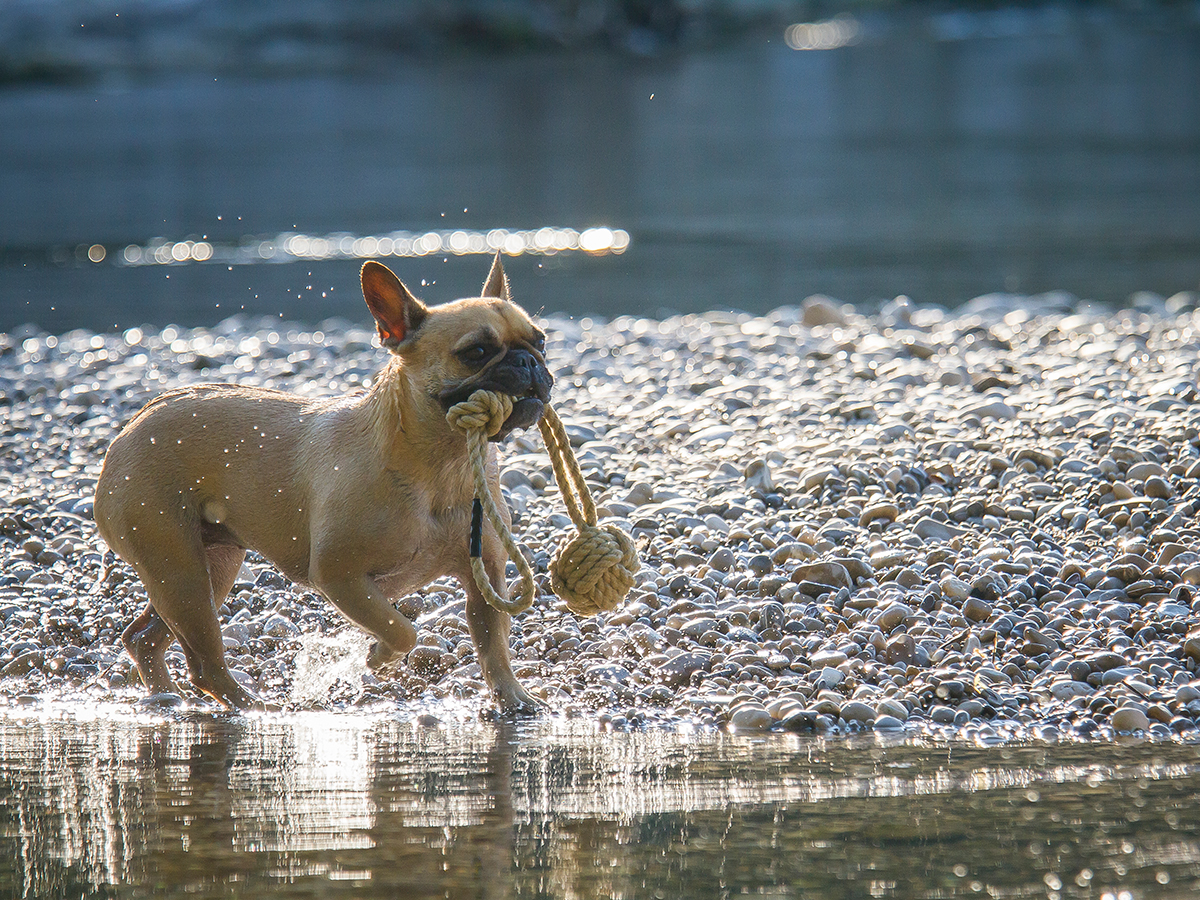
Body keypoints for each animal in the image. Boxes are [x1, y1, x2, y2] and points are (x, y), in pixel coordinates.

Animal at [93, 254, 552, 710]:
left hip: (209, 566)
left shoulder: (487, 578)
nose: (528, 361)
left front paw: (515, 699)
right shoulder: (339, 576)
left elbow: (494, 648)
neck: (444, 464)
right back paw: (254, 706)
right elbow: (402, 629)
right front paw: (378, 657)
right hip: (180, 572)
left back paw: (166, 697)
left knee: (144, 638)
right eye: (476, 352)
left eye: (541, 341)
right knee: (203, 663)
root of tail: (132, 426)